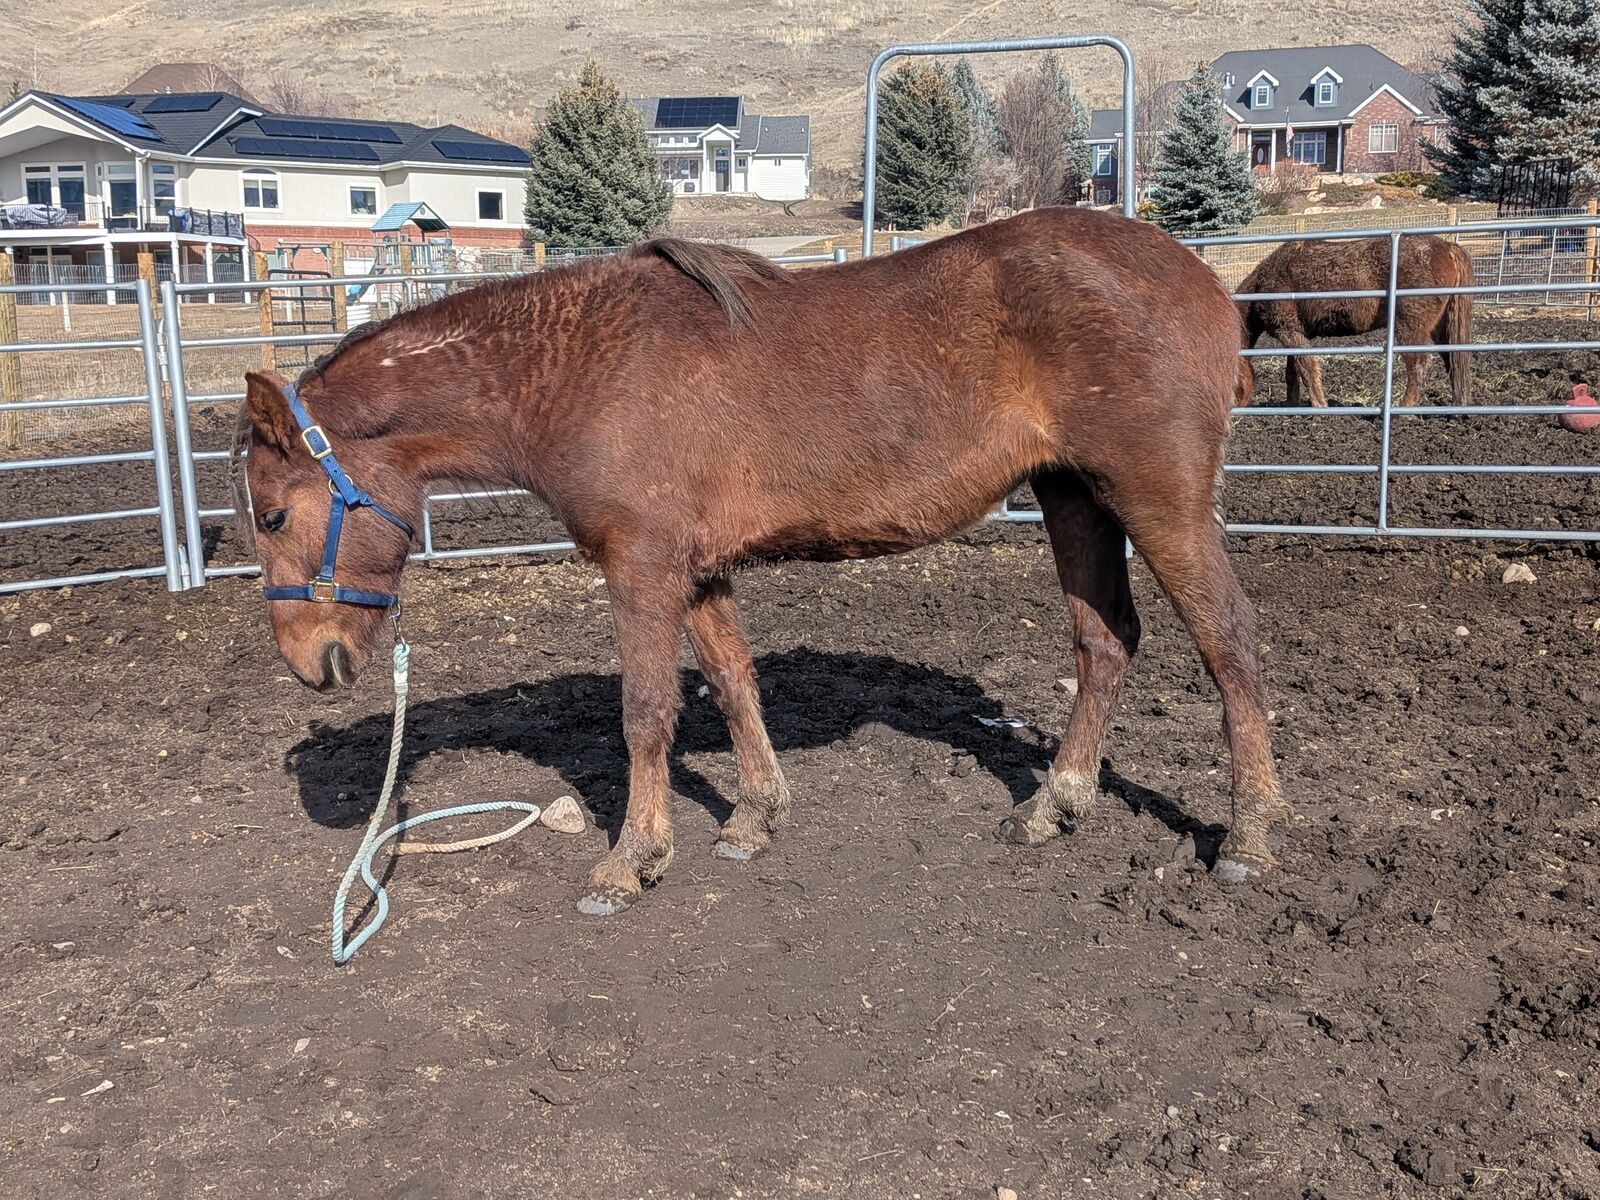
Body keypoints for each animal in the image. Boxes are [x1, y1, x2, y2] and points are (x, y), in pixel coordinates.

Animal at [233, 206, 1286, 917]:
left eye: (274, 513)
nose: (309, 662)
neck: (578, 372)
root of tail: (1200, 281)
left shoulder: (643, 567)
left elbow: (645, 714)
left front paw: (632, 860)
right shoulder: (698, 569)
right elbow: (733, 684)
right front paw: (753, 818)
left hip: (1157, 499)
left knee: (1229, 641)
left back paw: (1249, 834)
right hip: (1072, 494)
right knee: (1105, 643)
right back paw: (1054, 805)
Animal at [1237, 234, 1474, 408]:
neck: (1261, 285)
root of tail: (1447, 247)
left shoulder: (1290, 332)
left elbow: (1307, 369)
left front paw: (1319, 406)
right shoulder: (1295, 333)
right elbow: (1293, 372)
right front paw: (1292, 406)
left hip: (1411, 328)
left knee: (1419, 363)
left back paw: (1405, 408)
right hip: (1440, 328)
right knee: (1452, 360)